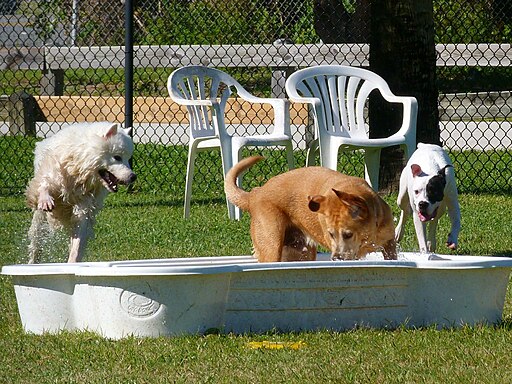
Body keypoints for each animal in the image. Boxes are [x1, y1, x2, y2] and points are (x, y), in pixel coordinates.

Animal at [26, 123, 136, 264]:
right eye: (117, 157)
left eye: (128, 159)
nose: (133, 177)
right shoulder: (53, 172)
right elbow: (45, 183)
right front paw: (45, 200)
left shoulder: (84, 210)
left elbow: (77, 245)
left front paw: (73, 261)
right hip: (39, 220)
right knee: (36, 243)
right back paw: (32, 262)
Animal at [226, 155, 398, 260]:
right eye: (330, 234)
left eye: (348, 234)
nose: (336, 258)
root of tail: (255, 194)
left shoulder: (389, 243)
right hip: (271, 247)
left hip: (300, 252)